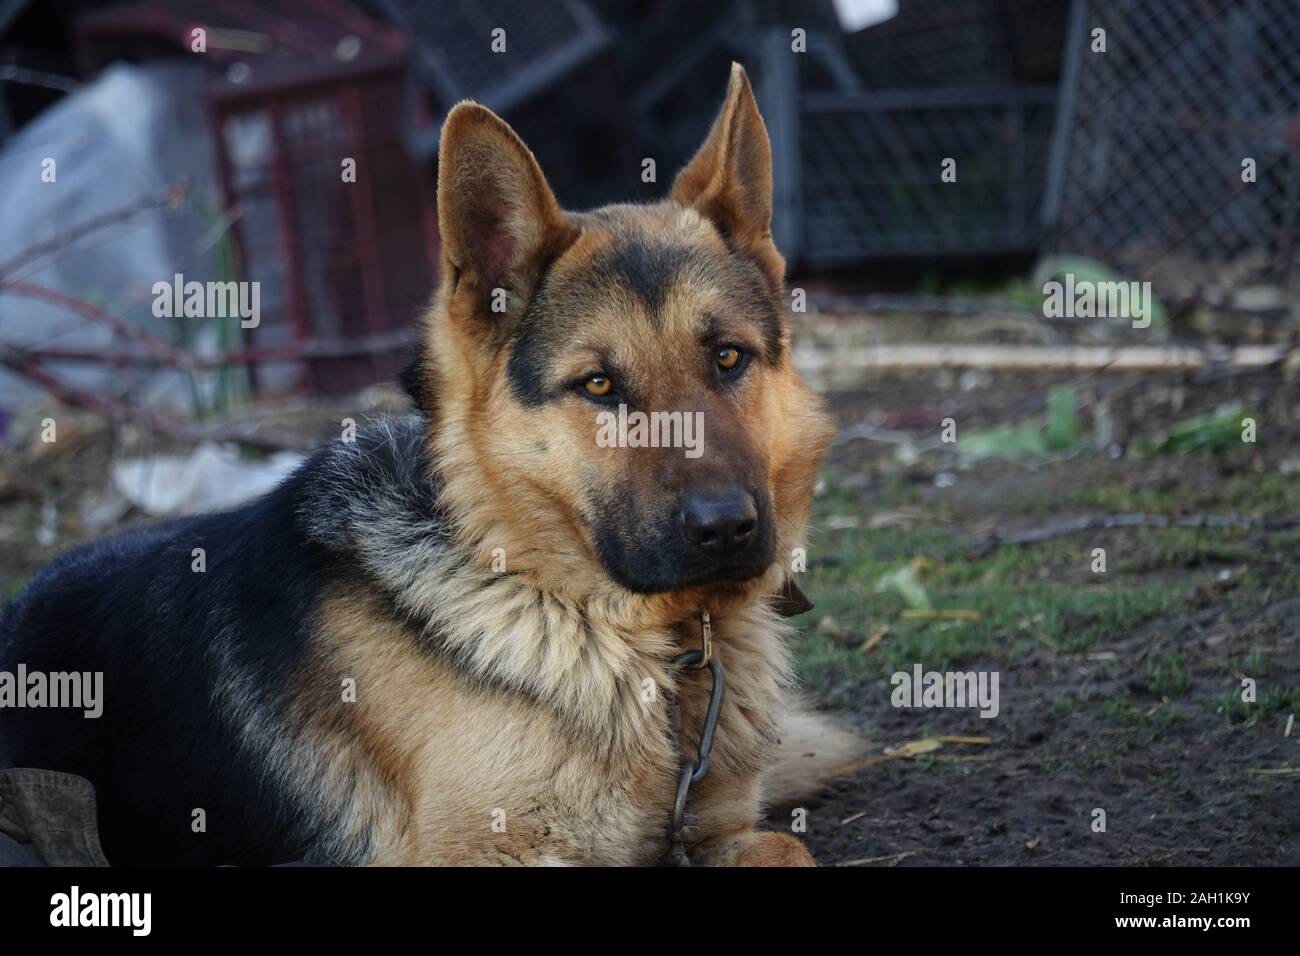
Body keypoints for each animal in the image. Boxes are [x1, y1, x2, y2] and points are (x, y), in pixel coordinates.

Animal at [0, 63, 852, 863]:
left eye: (729, 357)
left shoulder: (719, 830)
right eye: (599, 386)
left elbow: (791, 845)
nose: (726, 528)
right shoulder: (488, 849)